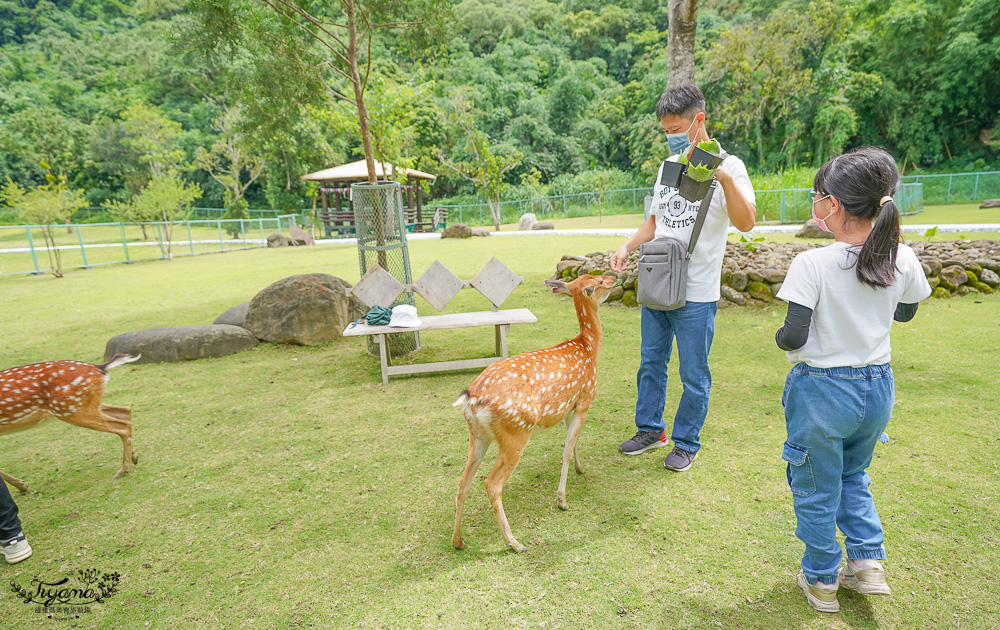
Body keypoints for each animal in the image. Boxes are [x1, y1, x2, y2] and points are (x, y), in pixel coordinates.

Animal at [0, 356, 141, 494]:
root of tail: (100, 368)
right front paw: (22, 485)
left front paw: (22, 486)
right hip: (85, 406)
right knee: (125, 411)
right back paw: (134, 457)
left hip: (71, 408)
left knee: (122, 425)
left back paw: (123, 470)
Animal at [454, 274, 616, 552]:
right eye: (599, 280)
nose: (615, 276)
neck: (588, 347)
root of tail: (472, 398)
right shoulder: (585, 398)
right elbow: (566, 451)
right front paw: (562, 500)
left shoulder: (567, 407)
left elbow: (573, 443)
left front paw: (581, 468)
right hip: (516, 433)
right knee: (492, 483)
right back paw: (514, 543)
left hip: (477, 435)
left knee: (463, 481)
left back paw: (458, 541)